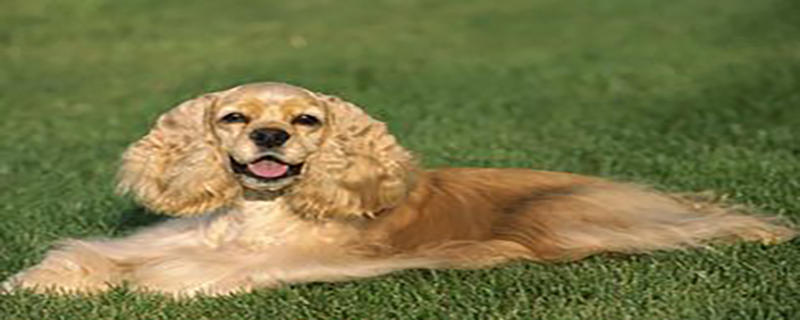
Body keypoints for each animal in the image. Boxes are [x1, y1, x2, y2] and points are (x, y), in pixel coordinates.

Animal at [4, 82, 792, 298]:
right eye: (234, 117)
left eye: (306, 119)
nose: (270, 138)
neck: (259, 213)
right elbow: (101, 253)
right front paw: (48, 279)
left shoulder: (311, 258)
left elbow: (187, 271)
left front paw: (156, 283)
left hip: (578, 222)